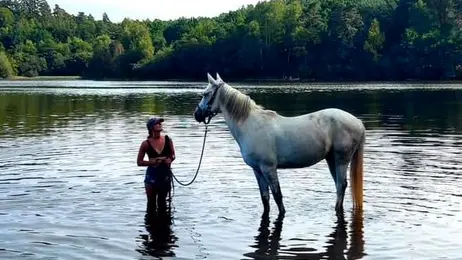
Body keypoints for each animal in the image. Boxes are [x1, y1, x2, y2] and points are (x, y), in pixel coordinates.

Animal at [194, 73, 364, 217]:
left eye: (206, 94)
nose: (197, 115)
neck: (250, 125)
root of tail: (358, 123)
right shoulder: (257, 170)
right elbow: (265, 198)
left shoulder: (268, 168)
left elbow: (277, 195)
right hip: (331, 159)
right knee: (338, 185)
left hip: (341, 159)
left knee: (341, 185)